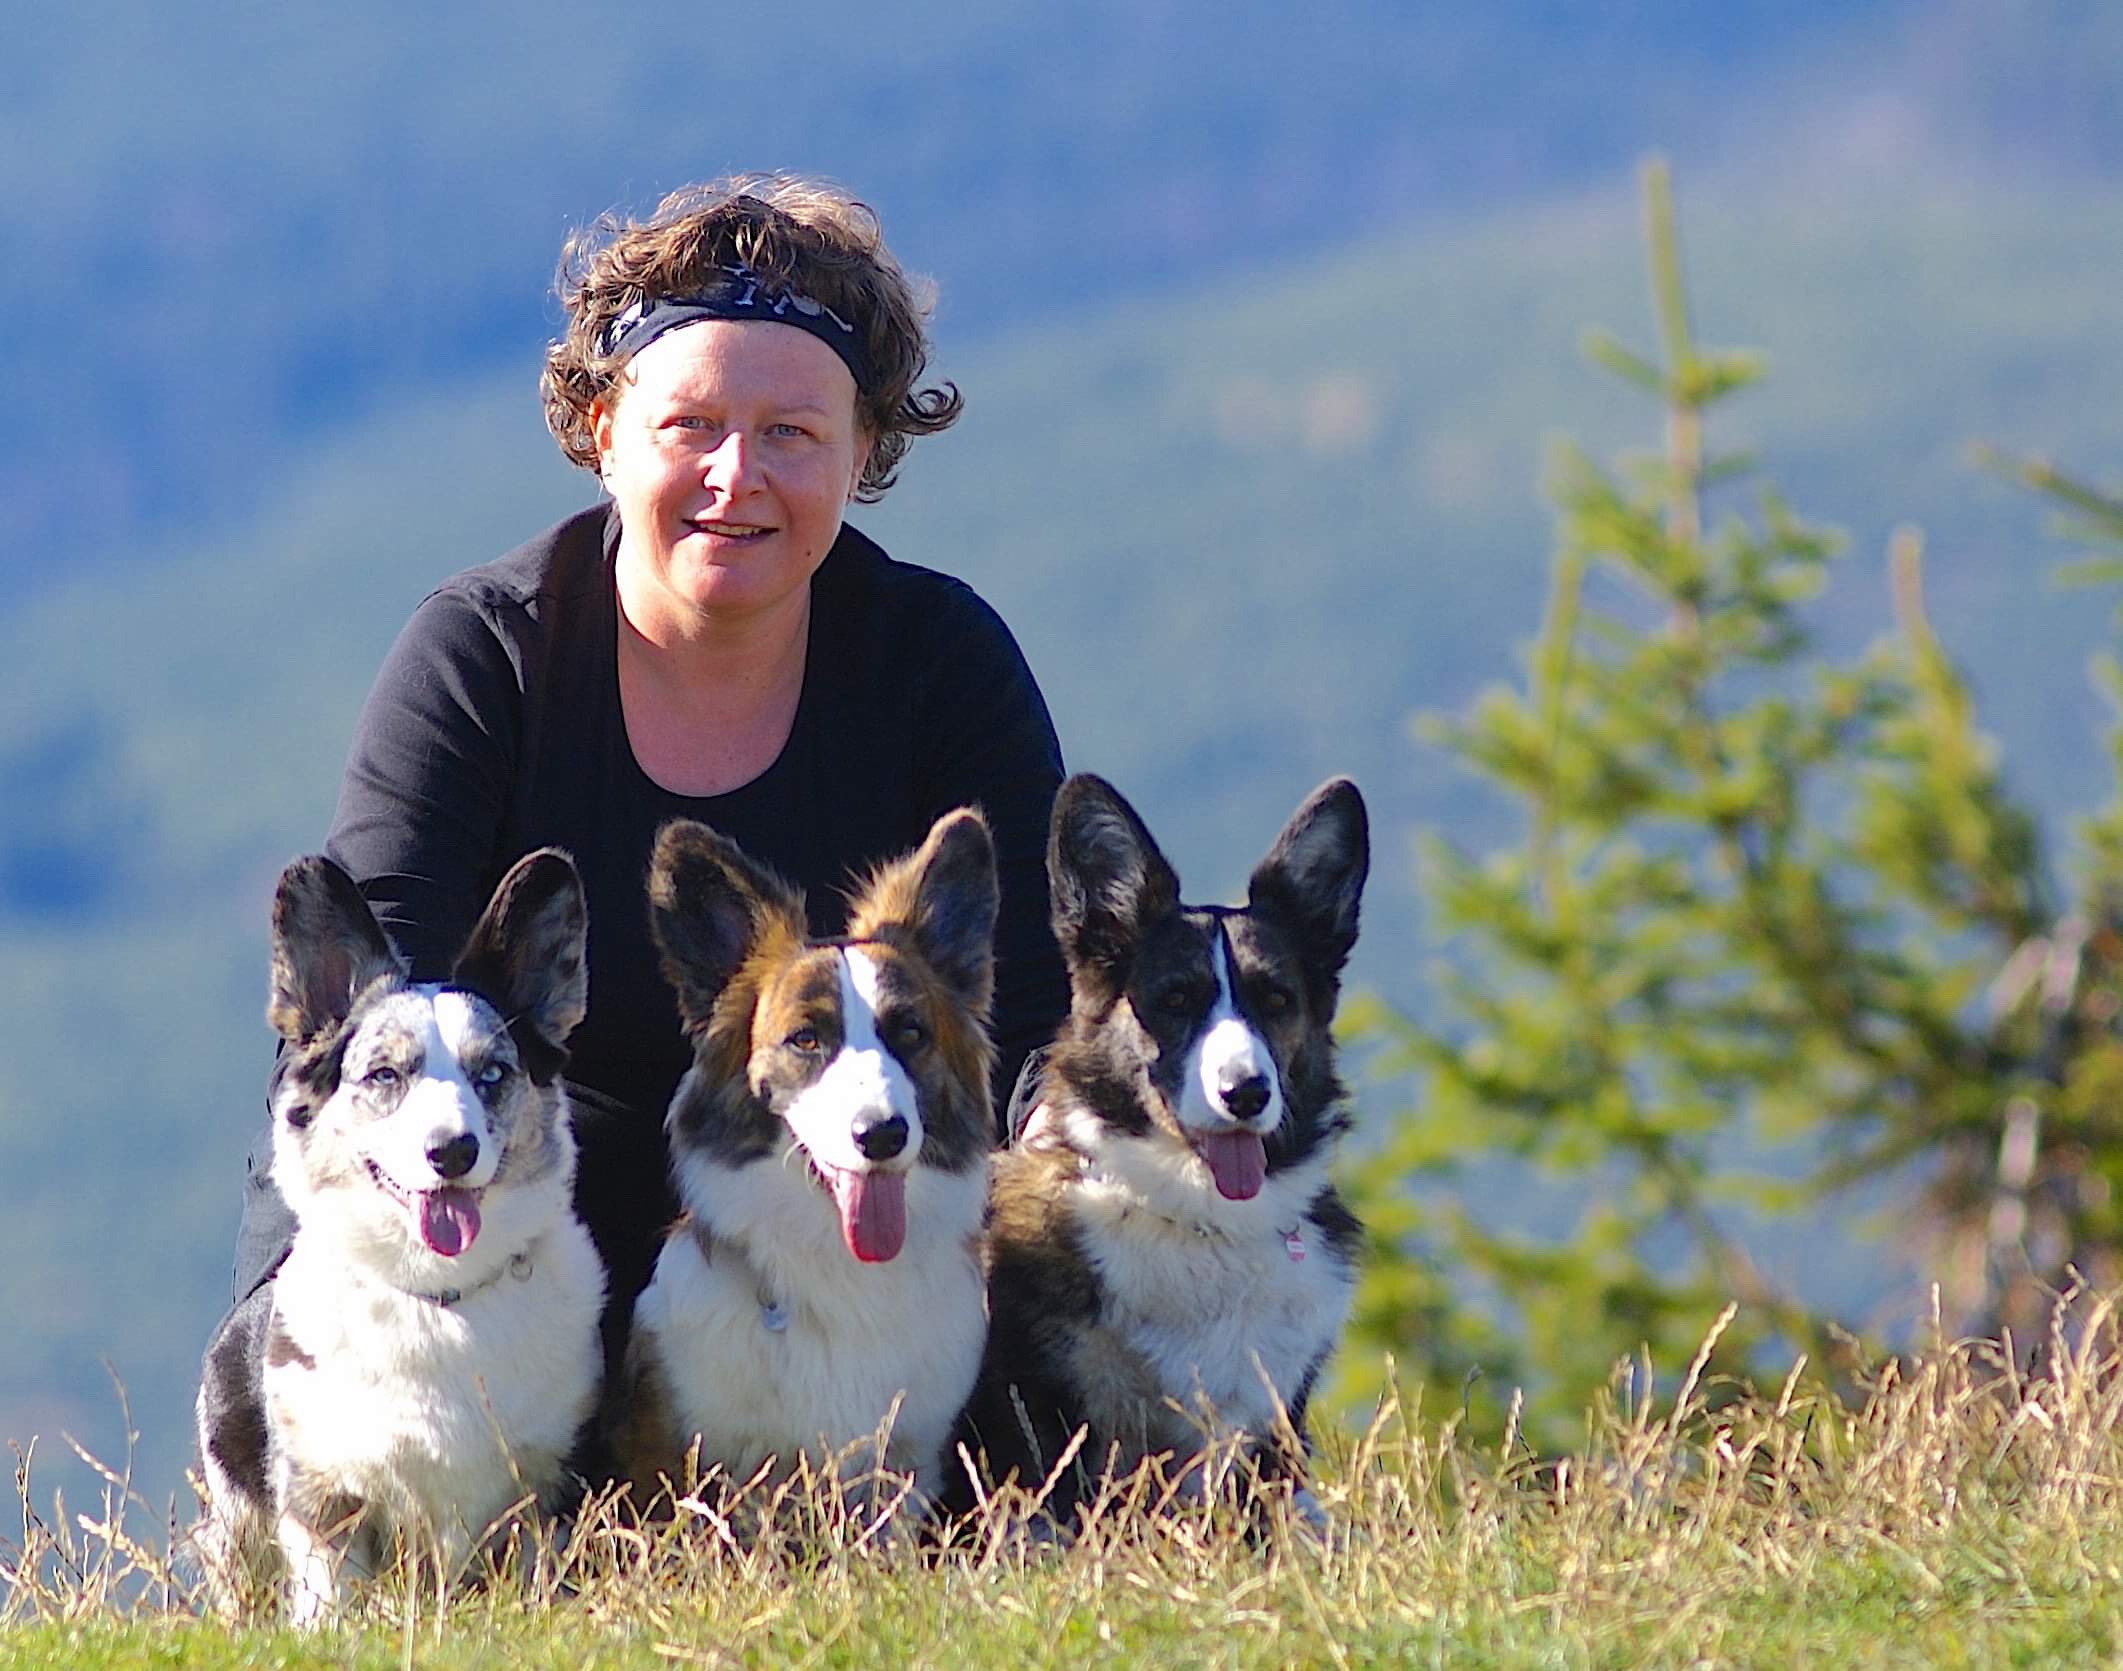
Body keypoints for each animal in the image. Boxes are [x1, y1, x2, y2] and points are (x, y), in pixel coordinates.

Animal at [195, 849, 607, 1622]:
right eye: (384, 1074)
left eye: (492, 1073)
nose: (453, 1150)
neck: (437, 1295)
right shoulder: (327, 1499)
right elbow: (331, 1597)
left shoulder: (546, 1488)